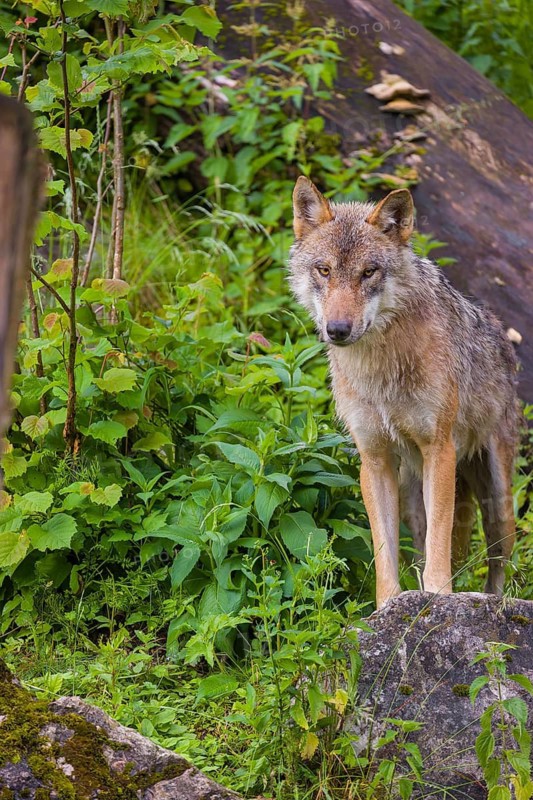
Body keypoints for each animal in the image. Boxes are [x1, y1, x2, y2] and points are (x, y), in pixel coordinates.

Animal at [289, 176, 519, 608]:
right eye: (324, 270)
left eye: (369, 272)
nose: (337, 330)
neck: (380, 370)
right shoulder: (374, 458)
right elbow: (384, 550)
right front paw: (389, 607)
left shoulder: (439, 450)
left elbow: (440, 544)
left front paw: (440, 596)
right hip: (414, 497)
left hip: (498, 501)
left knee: (498, 563)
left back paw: (490, 601)